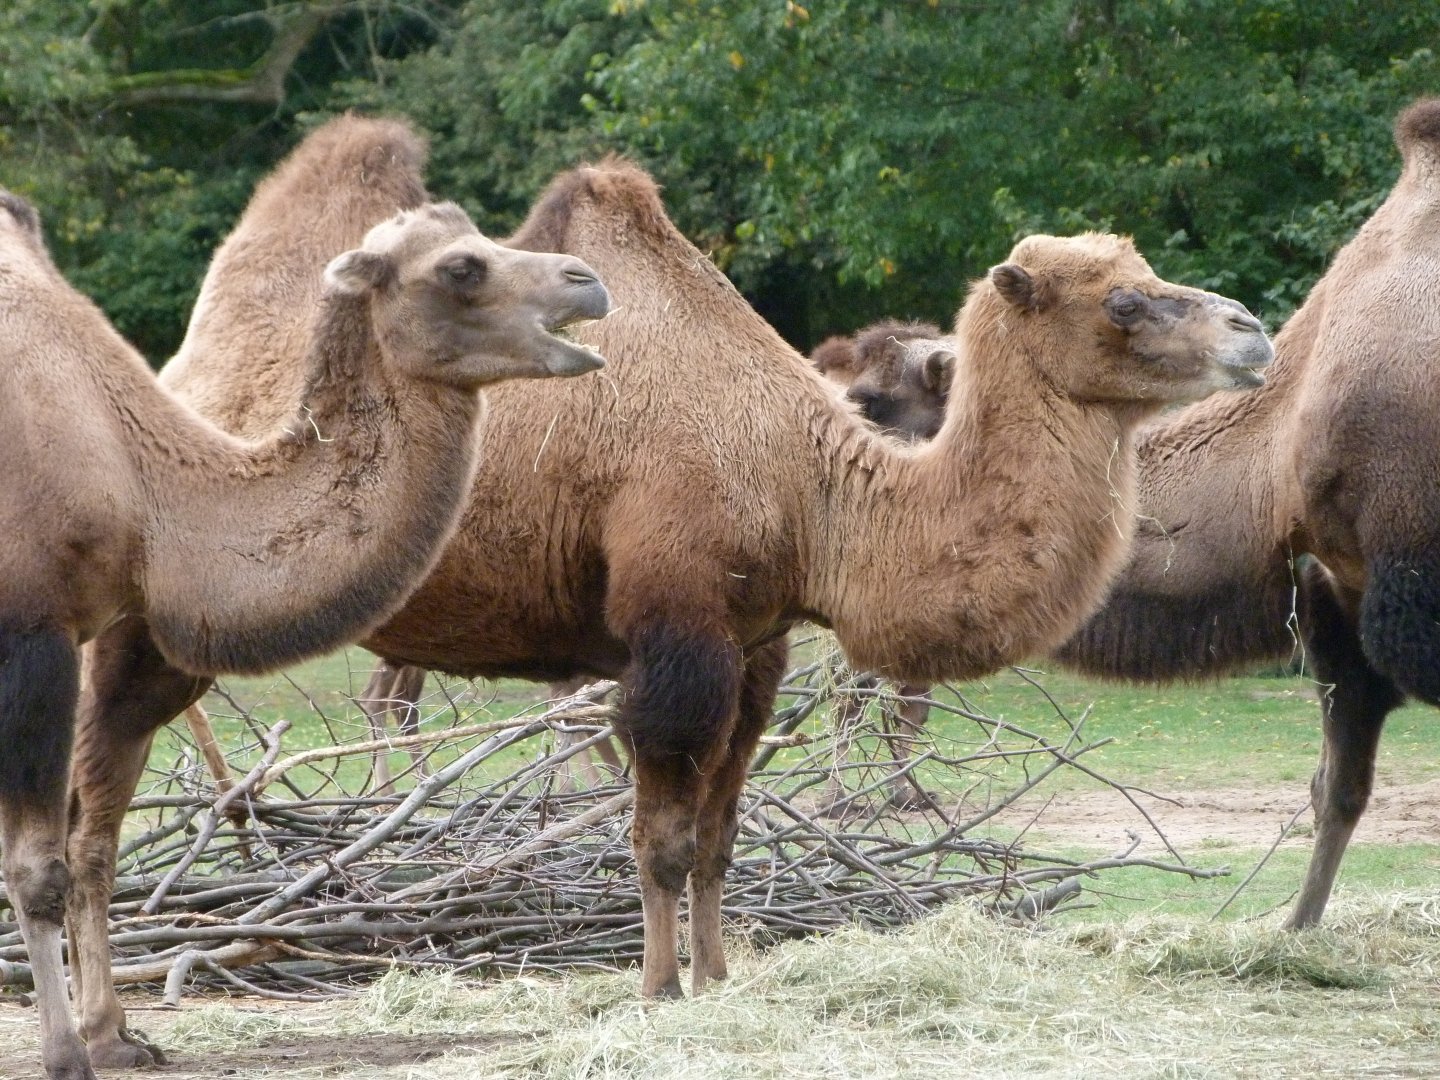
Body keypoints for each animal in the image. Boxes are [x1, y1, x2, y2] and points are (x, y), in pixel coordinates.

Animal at [0, 125, 610, 1080]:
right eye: (462, 266)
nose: (588, 281)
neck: (144, 477)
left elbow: (86, 838)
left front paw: (116, 1035)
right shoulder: (33, 628)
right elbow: (39, 865)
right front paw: (68, 1054)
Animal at [66, 136, 1272, 1061]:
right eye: (1124, 300)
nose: (1252, 330)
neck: (808, 484)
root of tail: (181, 385)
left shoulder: (759, 643)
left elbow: (722, 836)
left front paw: (723, 977)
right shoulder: (675, 630)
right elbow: (660, 836)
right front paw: (655, 990)